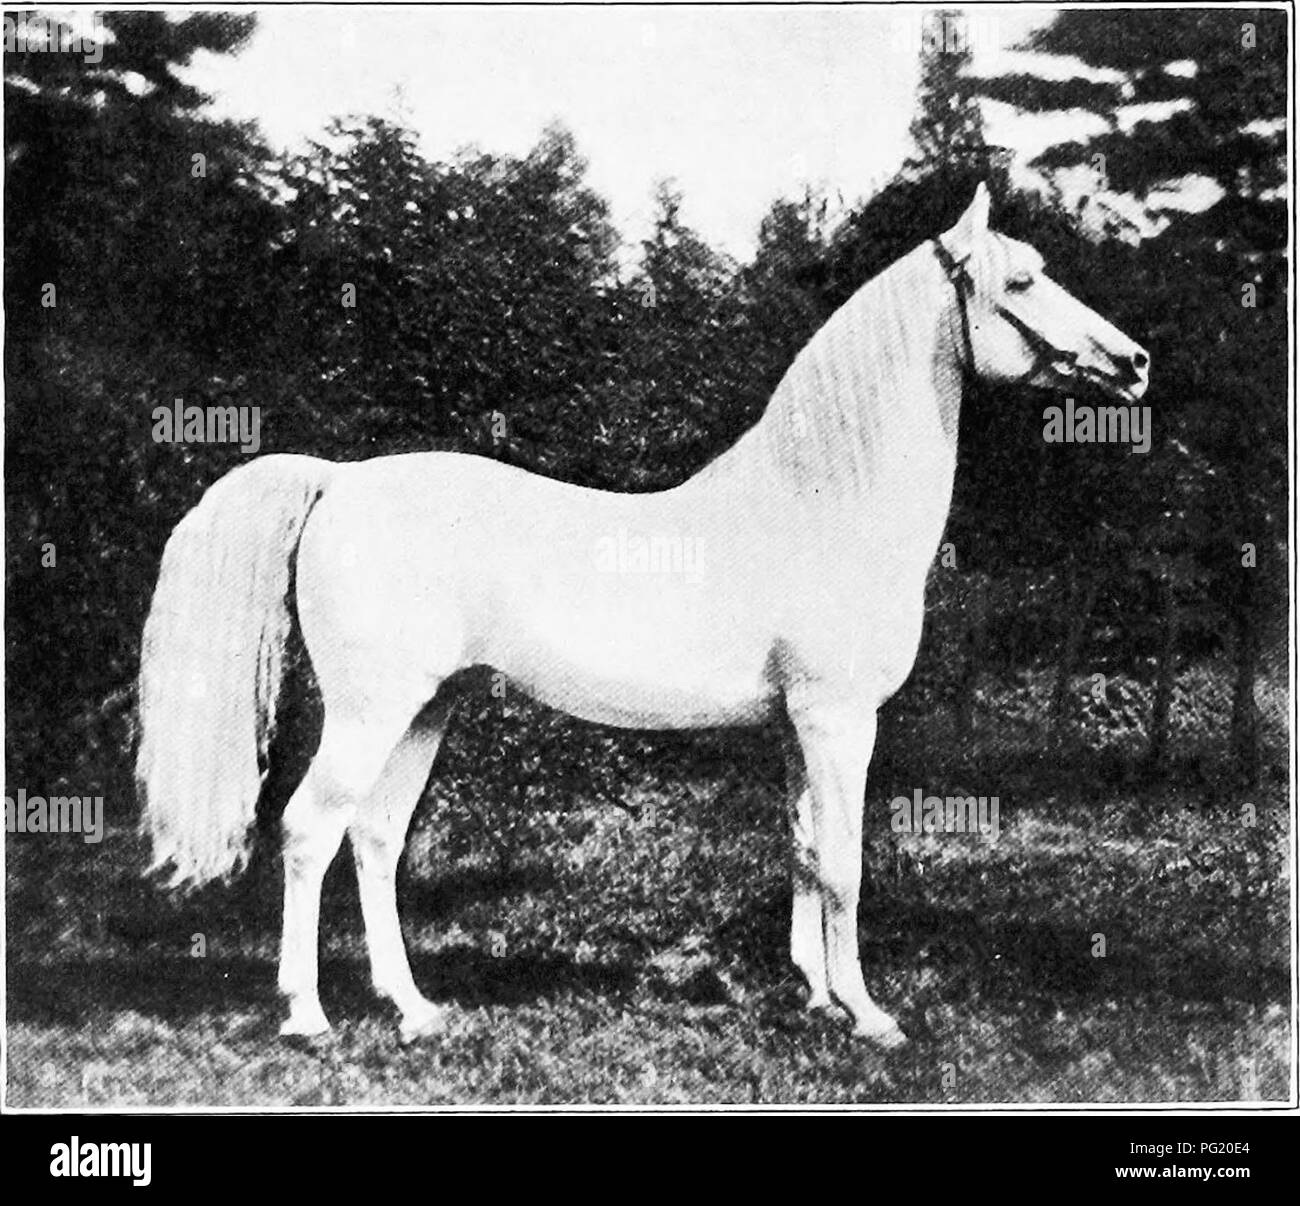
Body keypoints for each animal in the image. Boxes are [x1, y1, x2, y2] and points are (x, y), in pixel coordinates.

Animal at [136, 185, 1149, 1049]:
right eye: (1021, 281)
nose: (1134, 363)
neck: (823, 501)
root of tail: (338, 481)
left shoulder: (800, 725)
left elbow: (804, 847)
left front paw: (818, 997)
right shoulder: (838, 718)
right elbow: (845, 864)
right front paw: (868, 1015)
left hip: (426, 708)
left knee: (375, 840)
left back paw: (414, 1009)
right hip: (370, 710)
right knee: (310, 830)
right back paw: (306, 1016)